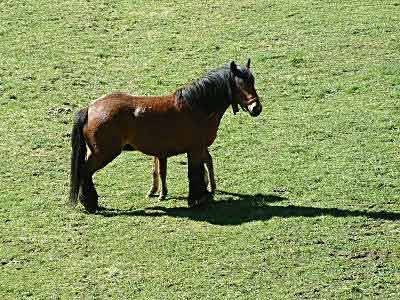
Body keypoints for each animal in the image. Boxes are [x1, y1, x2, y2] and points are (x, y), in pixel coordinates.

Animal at [69, 59, 262, 213]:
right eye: (240, 85)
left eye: (252, 82)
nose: (256, 108)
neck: (196, 107)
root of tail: (90, 108)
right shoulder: (195, 149)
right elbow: (194, 173)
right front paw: (196, 199)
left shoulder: (197, 150)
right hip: (103, 154)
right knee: (85, 172)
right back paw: (90, 203)